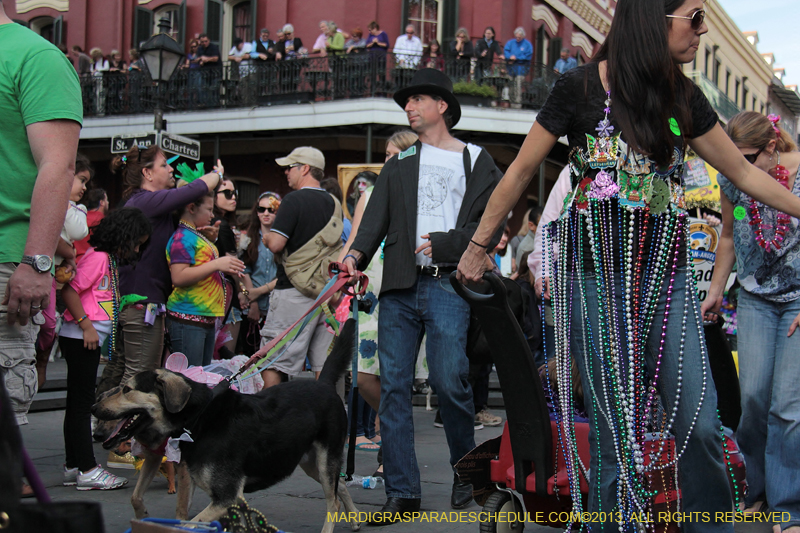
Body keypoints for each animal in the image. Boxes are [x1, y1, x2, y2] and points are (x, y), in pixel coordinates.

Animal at [91, 318, 362, 528]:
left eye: (127, 390)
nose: (94, 408)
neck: (198, 418)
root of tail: (324, 383)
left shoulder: (227, 496)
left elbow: (188, 522)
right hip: (310, 461)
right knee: (339, 488)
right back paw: (355, 519)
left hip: (324, 458)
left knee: (333, 501)